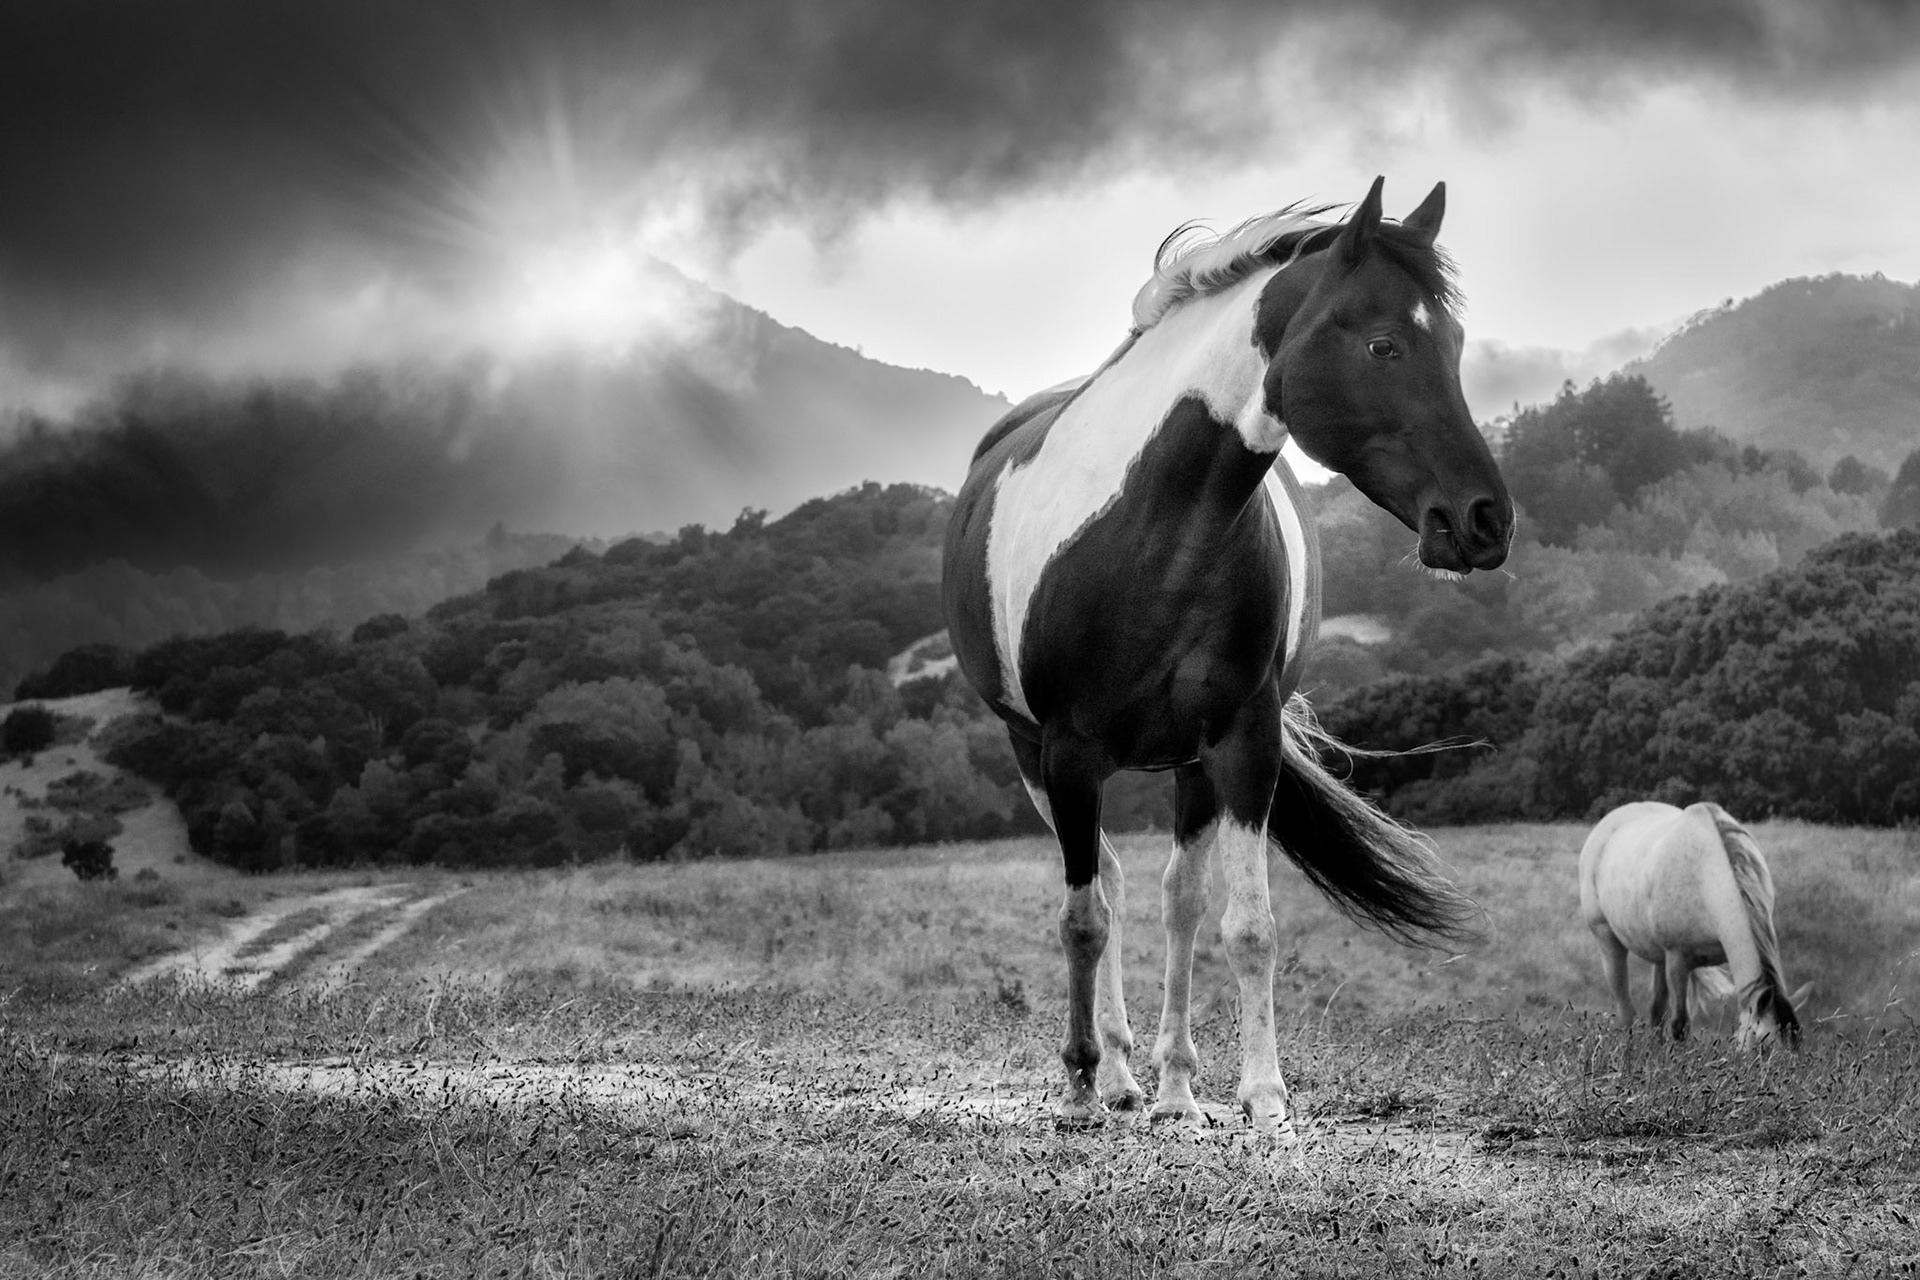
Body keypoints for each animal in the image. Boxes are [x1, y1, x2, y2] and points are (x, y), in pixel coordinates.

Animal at [941, 177, 1514, 1133]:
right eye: (1384, 343)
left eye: (1459, 344)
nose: (1484, 521)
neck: (1155, 530)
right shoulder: (1065, 751)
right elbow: (1083, 919)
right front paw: (1080, 1079)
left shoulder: (1242, 743)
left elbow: (1246, 927)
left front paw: (1264, 1097)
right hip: (1035, 755)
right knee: (1107, 888)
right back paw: (1113, 1075)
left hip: (1188, 768)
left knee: (1176, 898)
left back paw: (1169, 1085)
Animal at [1579, 801, 1807, 1049]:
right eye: (1764, 1047)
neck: (1706, 876)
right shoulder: (1677, 959)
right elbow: (1680, 1025)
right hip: (1608, 940)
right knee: (1626, 1012)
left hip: (1659, 957)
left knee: (1656, 1010)